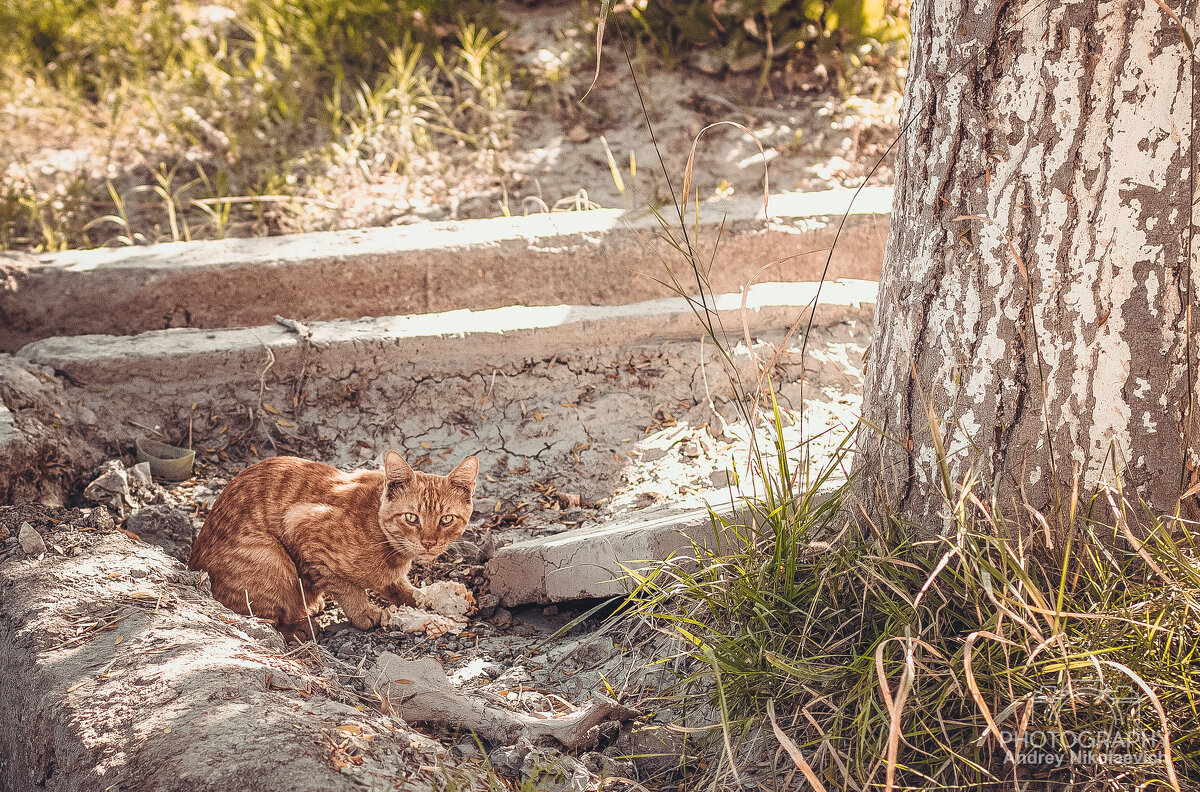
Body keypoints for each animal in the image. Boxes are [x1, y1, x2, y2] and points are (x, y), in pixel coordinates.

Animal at [189, 448, 475, 638]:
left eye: (446, 519)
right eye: (411, 518)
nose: (428, 542)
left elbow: (399, 587)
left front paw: (424, 600)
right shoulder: (302, 527)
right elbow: (346, 586)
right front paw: (364, 612)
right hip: (271, 557)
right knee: (264, 620)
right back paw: (302, 626)